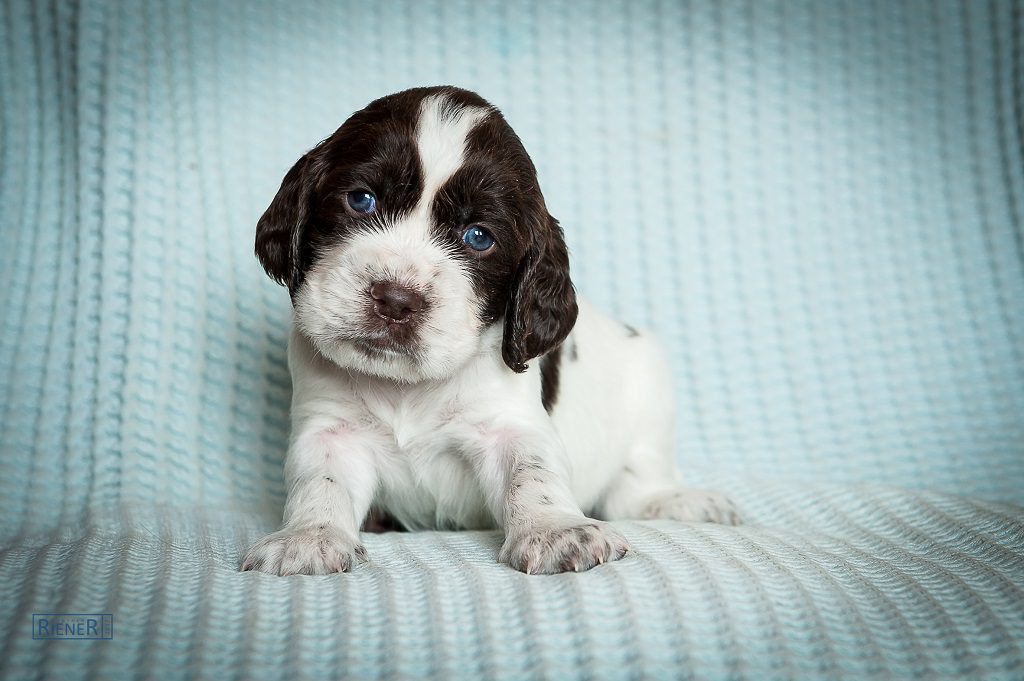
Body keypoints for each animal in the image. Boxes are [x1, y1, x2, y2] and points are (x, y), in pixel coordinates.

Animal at [241, 84, 737, 573]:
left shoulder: (508, 422)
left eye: (479, 237)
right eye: (361, 200)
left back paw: (677, 500)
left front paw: (556, 530)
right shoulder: (330, 427)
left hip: (649, 387)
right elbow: (321, 481)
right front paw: (309, 536)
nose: (397, 300)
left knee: (635, 484)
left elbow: (530, 472)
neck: (406, 388)